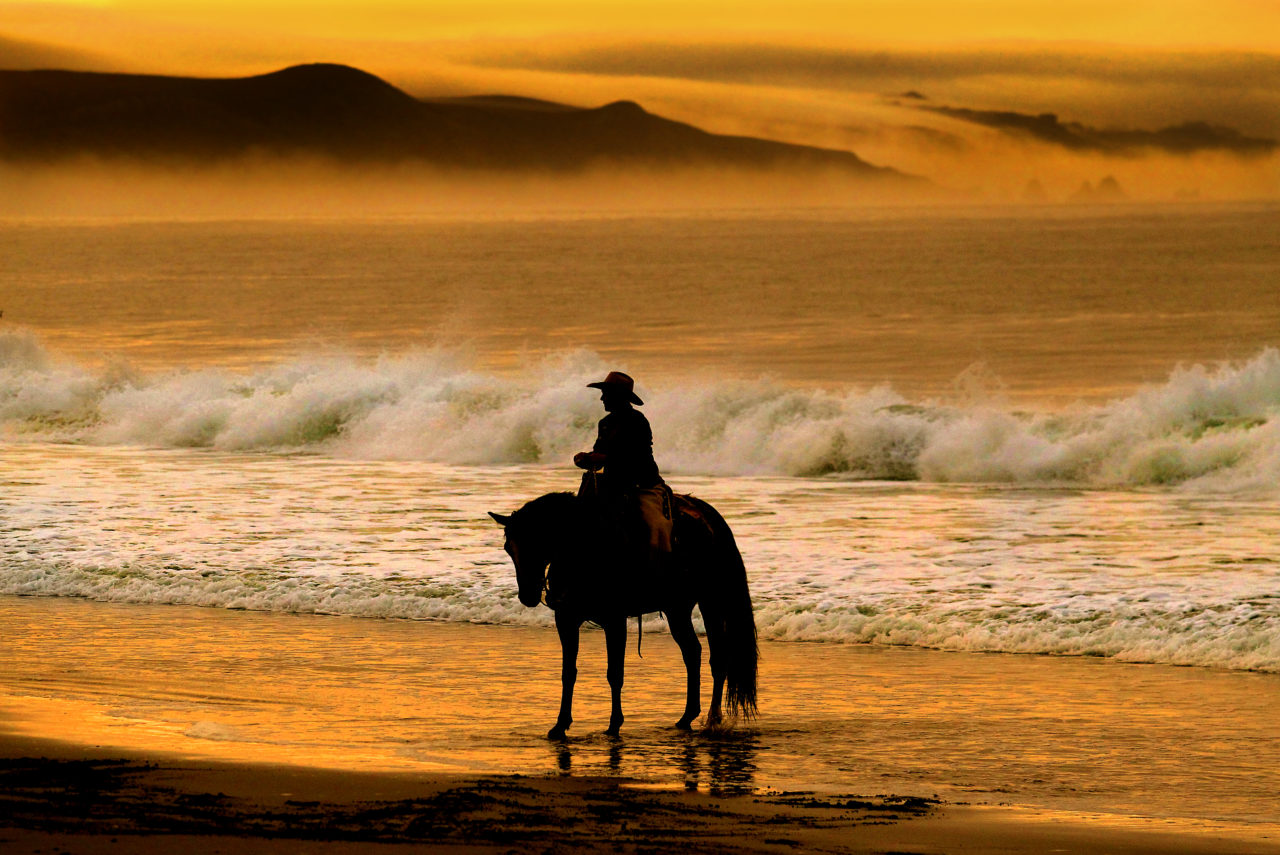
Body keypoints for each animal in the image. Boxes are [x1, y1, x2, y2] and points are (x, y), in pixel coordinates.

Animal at [486, 486, 747, 742]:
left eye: (536, 542)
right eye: (509, 549)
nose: (527, 596)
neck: (582, 549)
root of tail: (710, 518)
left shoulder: (615, 621)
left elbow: (615, 673)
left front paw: (614, 725)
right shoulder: (566, 620)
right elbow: (568, 672)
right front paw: (560, 726)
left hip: (710, 600)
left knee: (718, 658)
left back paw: (713, 719)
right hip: (677, 608)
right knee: (692, 652)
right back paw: (686, 717)